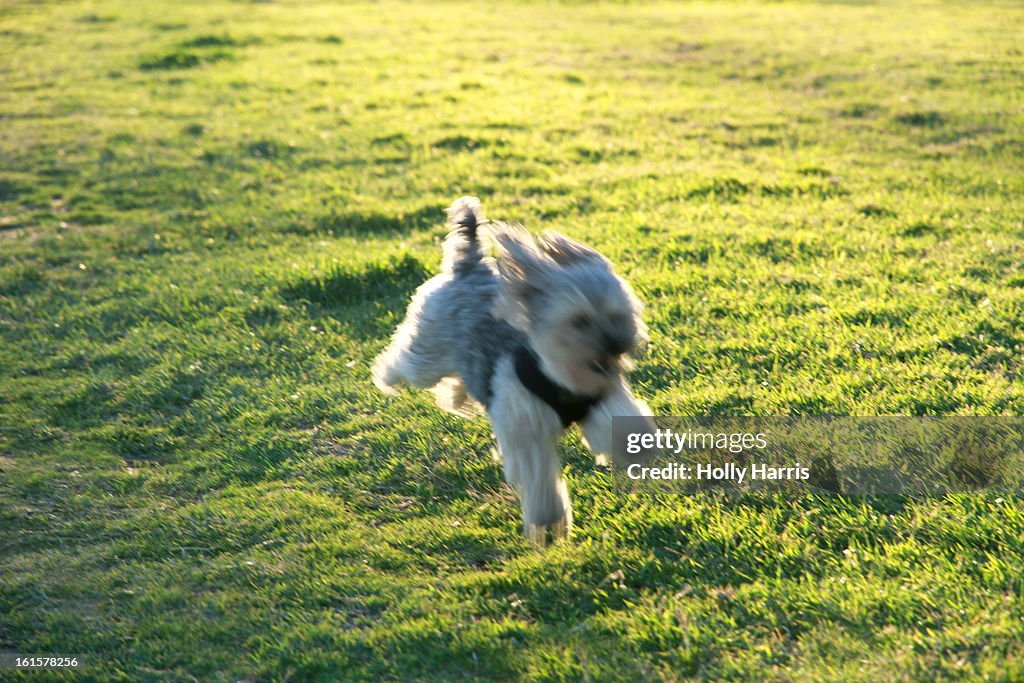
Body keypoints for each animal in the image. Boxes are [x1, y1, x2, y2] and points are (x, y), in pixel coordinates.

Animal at [372, 196, 651, 544]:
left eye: (617, 315)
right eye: (580, 322)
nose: (617, 345)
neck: (559, 374)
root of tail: (470, 266)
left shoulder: (599, 400)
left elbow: (624, 426)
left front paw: (640, 451)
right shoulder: (526, 431)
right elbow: (540, 479)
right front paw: (549, 523)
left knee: (460, 377)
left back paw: (459, 397)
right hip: (428, 349)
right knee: (406, 359)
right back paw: (385, 377)